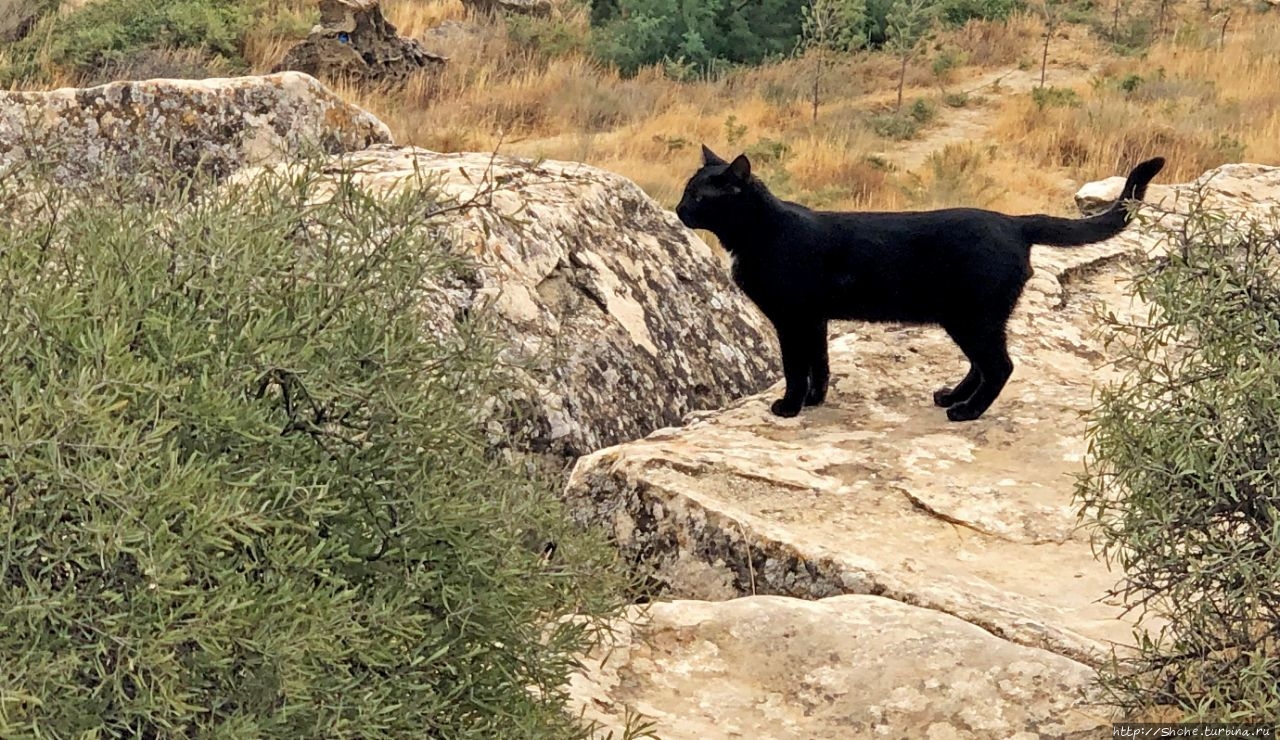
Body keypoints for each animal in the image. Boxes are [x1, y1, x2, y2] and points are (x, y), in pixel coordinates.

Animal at [675, 145, 1167, 419]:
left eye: (698, 196)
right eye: (685, 192)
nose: (678, 209)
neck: (762, 231)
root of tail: (1013, 221)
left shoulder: (792, 319)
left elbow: (796, 367)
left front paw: (789, 407)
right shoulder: (814, 320)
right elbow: (821, 363)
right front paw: (814, 401)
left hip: (972, 317)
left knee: (1000, 366)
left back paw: (966, 413)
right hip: (972, 318)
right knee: (984, 365)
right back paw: (951, 397)